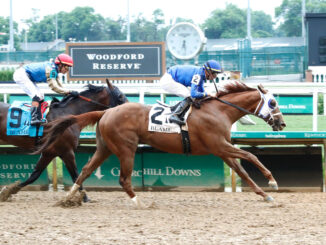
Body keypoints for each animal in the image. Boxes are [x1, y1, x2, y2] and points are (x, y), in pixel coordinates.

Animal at [35, 82, 286, 207]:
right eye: (273, 102)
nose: (282, 123)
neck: (219, 110)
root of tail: (105, 111)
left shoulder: (222, 150)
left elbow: (242, 171)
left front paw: (265, 195)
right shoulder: (219, 146)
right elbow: (251, 156)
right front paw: (272, 182)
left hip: (104, 148)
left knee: (85, 171)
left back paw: (69, 198)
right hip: (126, 148)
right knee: (123, 178)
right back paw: (139, 202)